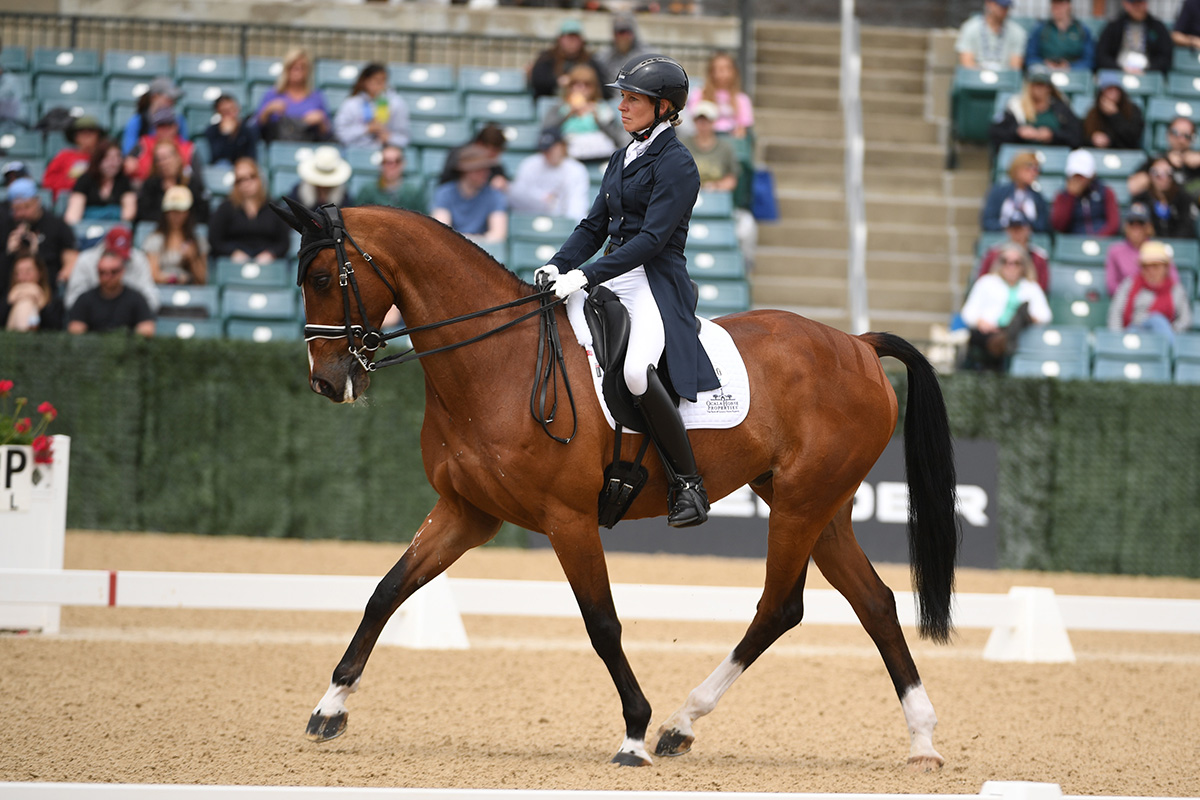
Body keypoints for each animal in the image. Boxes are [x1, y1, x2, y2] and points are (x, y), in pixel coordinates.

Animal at [274, 196, 964, 772]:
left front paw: (634, 733)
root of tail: (859, 342)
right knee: (874, 602)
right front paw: (330, 707)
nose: (326, 382)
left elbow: (602, 623)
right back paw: (921, 739)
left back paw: (680, 722)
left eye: (320, 279)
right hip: (821, 505)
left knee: (779, 607)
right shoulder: (465, 512)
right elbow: (386, 592)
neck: (495, 363)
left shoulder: (568, 518)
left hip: (801, 504)